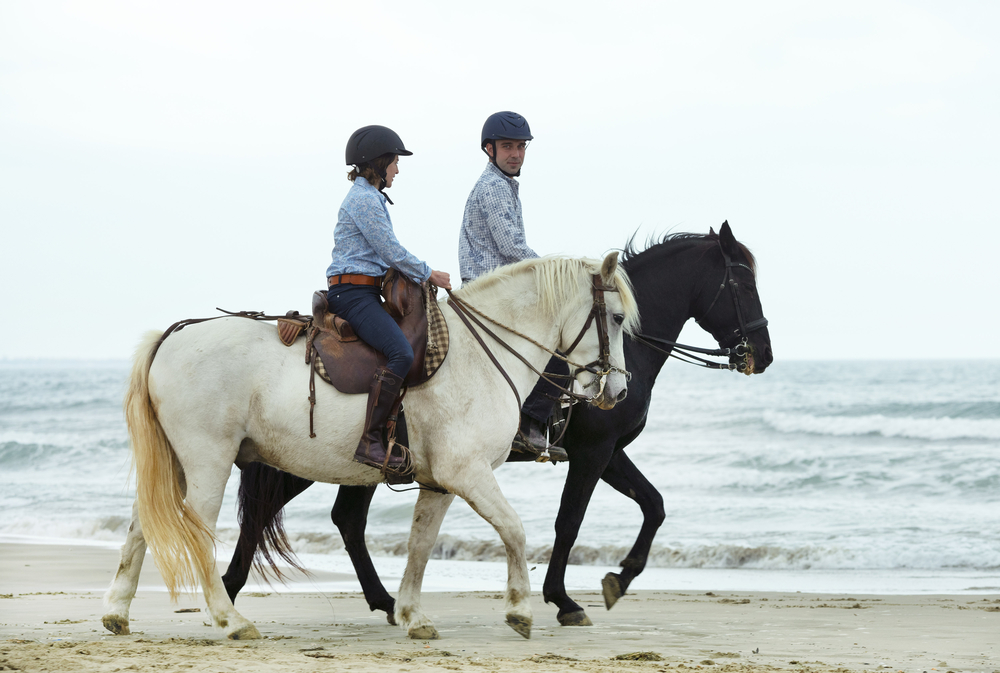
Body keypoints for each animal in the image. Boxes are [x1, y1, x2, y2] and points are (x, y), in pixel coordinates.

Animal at [103, 253, 640, 640]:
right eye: (615, 318)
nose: (618, 392)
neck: (481, 354)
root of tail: (173, 337)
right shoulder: (468, 473)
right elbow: (514, 530)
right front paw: (519, 611)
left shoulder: (440, 483)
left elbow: (421, 544)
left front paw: (412, 614)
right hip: (208, 461)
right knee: (197, 530)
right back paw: (230, 619)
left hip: (178, 463)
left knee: (140, 525)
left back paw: (117, 613)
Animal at [225, 223, 772, 628]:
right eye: (743, 285)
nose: (762, 356)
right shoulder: (595, 452)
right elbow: (570, 522)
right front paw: (563, 600)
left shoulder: (610, 453)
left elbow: (653, 505)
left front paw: (618, 579)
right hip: (305, 457)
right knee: (268, 513)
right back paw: (230, 589)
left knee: (346, 520)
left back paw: (383, 601)